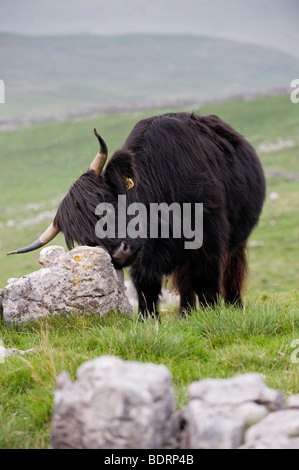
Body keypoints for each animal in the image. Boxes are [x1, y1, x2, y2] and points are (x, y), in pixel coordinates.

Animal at [8, 113, 268, 320]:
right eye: (84, 238)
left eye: (107, 203)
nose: (121, 253)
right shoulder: (145, 257)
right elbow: (146, 288)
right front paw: (148, 320)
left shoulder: (208, 239)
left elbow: (207, 281)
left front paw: (212, 315)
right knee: (185, 284)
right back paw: (185, 314)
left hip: (237, 240)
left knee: (231, 273)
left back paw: (234, 307)